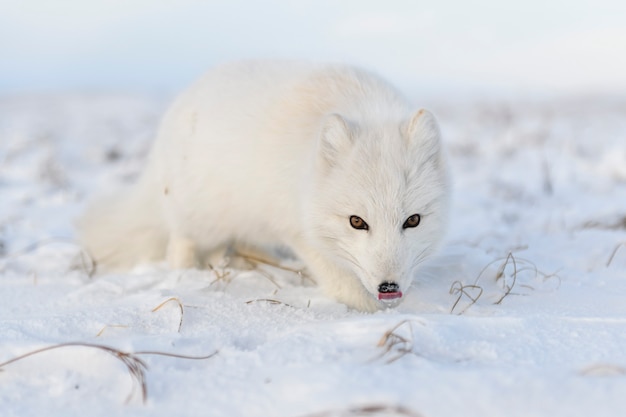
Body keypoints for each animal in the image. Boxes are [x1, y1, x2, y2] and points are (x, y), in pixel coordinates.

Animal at [78, 60, 448, 310]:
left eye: (413, 220)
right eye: (357, 222)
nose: (388, 286)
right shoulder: (300, 229)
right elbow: (344, 285)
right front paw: (371, 312)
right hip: (199, 216)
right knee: (180, 244)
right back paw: (188, 276)